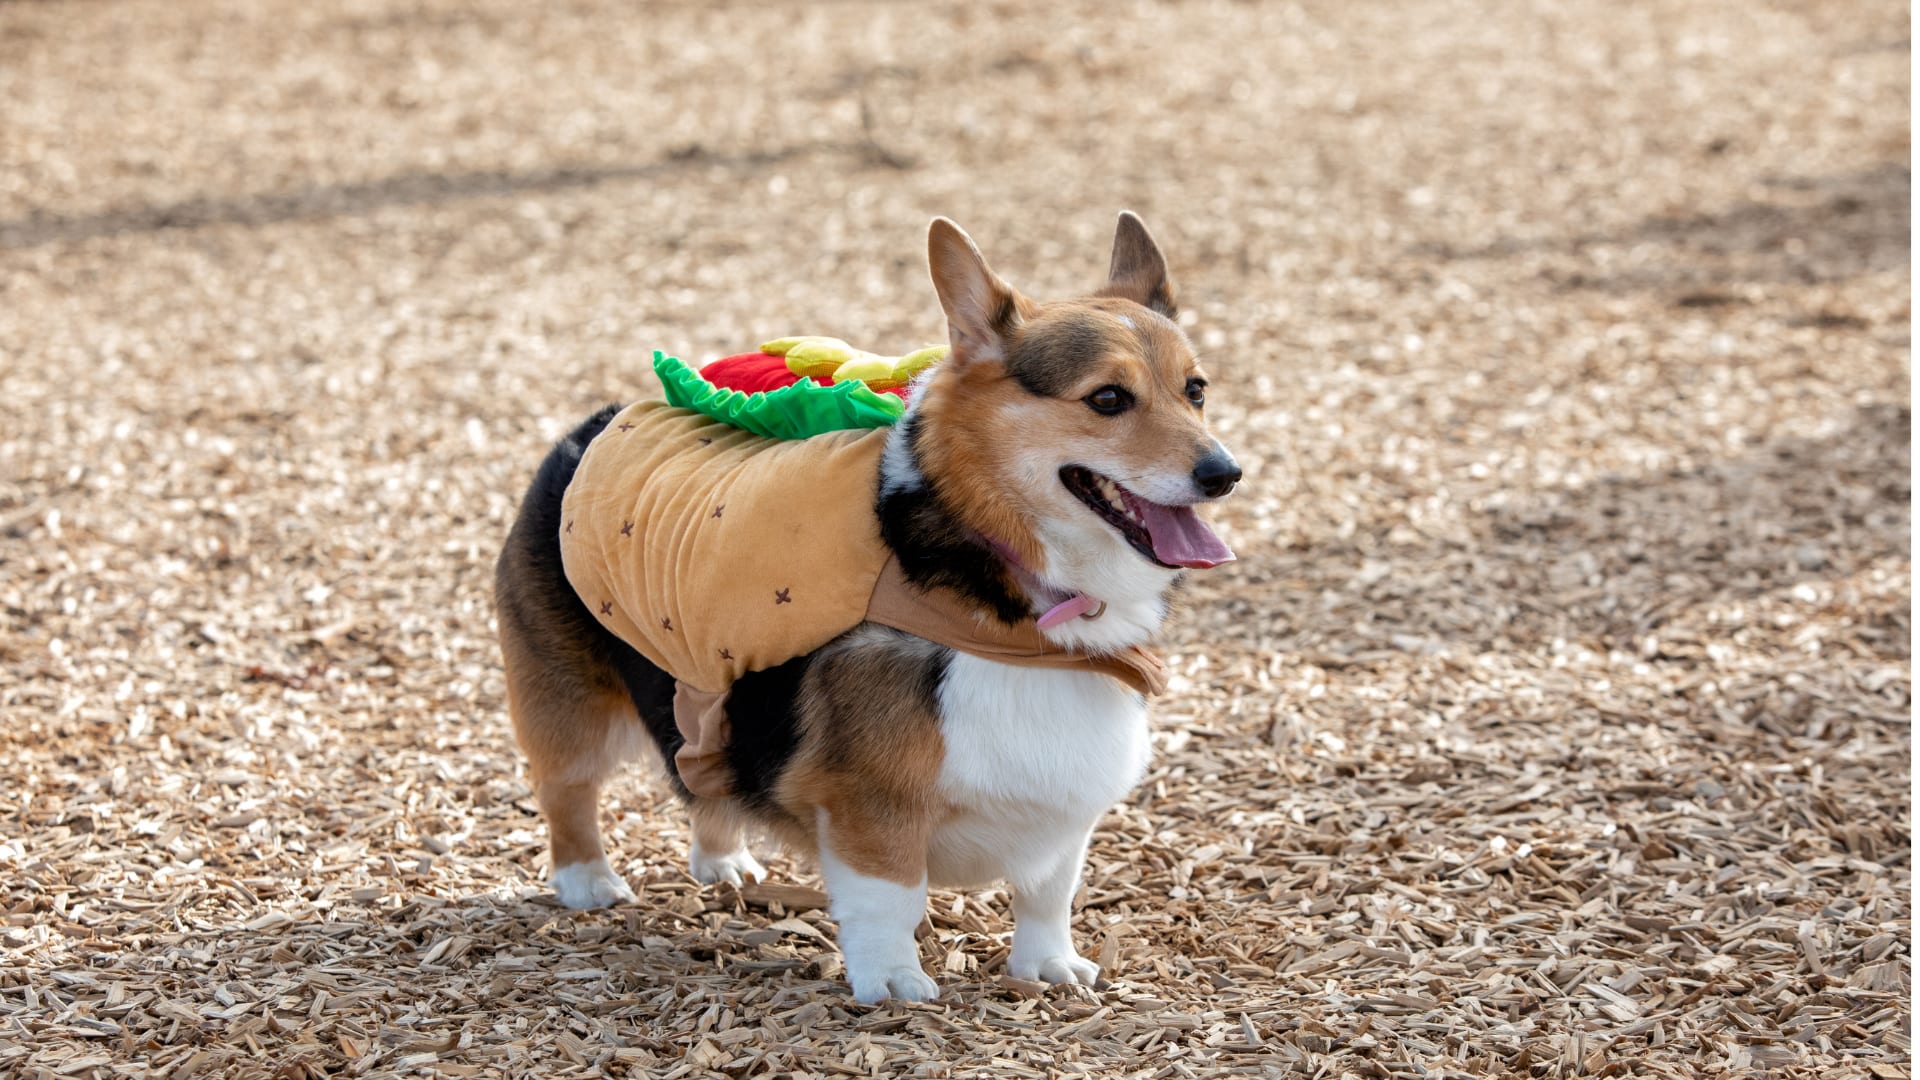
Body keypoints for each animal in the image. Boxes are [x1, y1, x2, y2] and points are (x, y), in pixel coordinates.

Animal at [499, 212, 1244, 999]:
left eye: (1195, 390)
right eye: (1107, 399)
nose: (1225, 474)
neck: (1016, 605)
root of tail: (590, 426)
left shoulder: (1064, 811)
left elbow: (1049, 892)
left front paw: (1047, 967)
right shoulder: (872, 804)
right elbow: (892, 894)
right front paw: (892, 981)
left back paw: (724, 861)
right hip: (570, 702)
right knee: (567, 787)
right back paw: (587, 881)